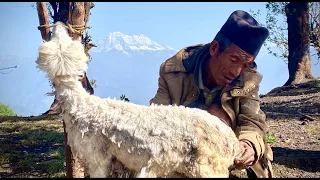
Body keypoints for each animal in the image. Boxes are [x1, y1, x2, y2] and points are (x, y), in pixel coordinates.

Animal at [35, 21, 242, 178]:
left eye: (57, 37)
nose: (58, 23)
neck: (83, 107)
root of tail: (232, 141)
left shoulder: (97, 157)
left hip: (210, 166)